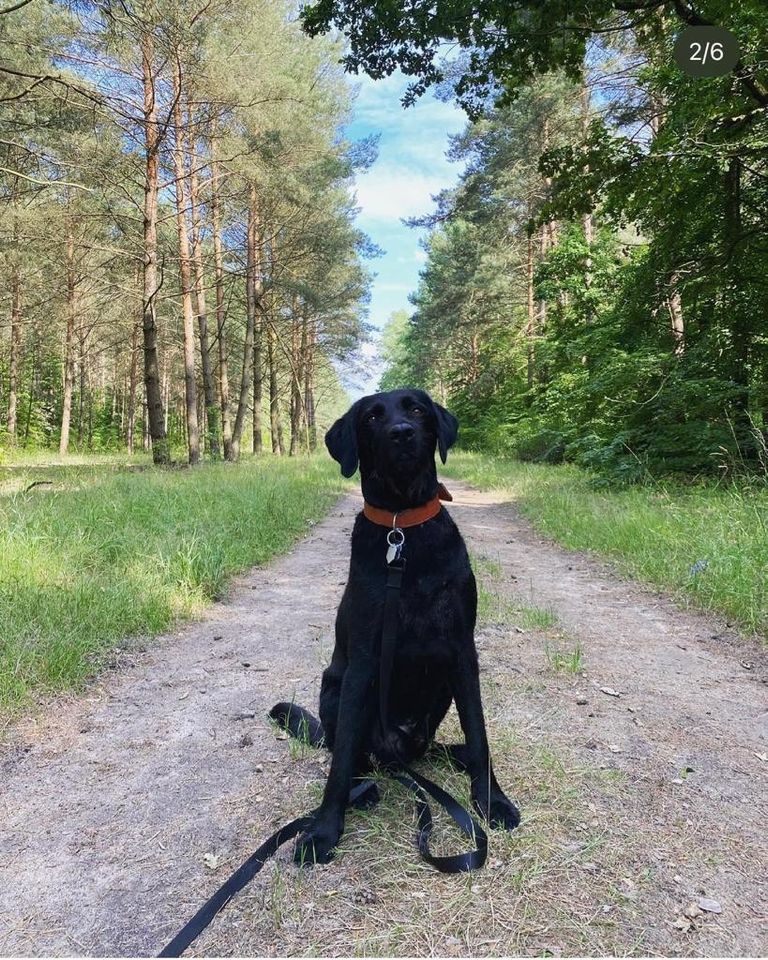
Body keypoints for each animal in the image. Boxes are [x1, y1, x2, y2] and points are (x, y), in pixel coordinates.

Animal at [294, 386, 520, 868]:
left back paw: (454, 757)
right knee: (352, 753)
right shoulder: (362, 662)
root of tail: (395, 755)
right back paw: (361, 790)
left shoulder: (462, 653)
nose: (401, 433)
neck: (402, 533)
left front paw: (492, 801)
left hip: (440, 694)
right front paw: (324, 829)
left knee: (435, 749)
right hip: (334, 689)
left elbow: (480, 735)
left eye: (416, 409)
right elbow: (340, 760)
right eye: (371, 418)